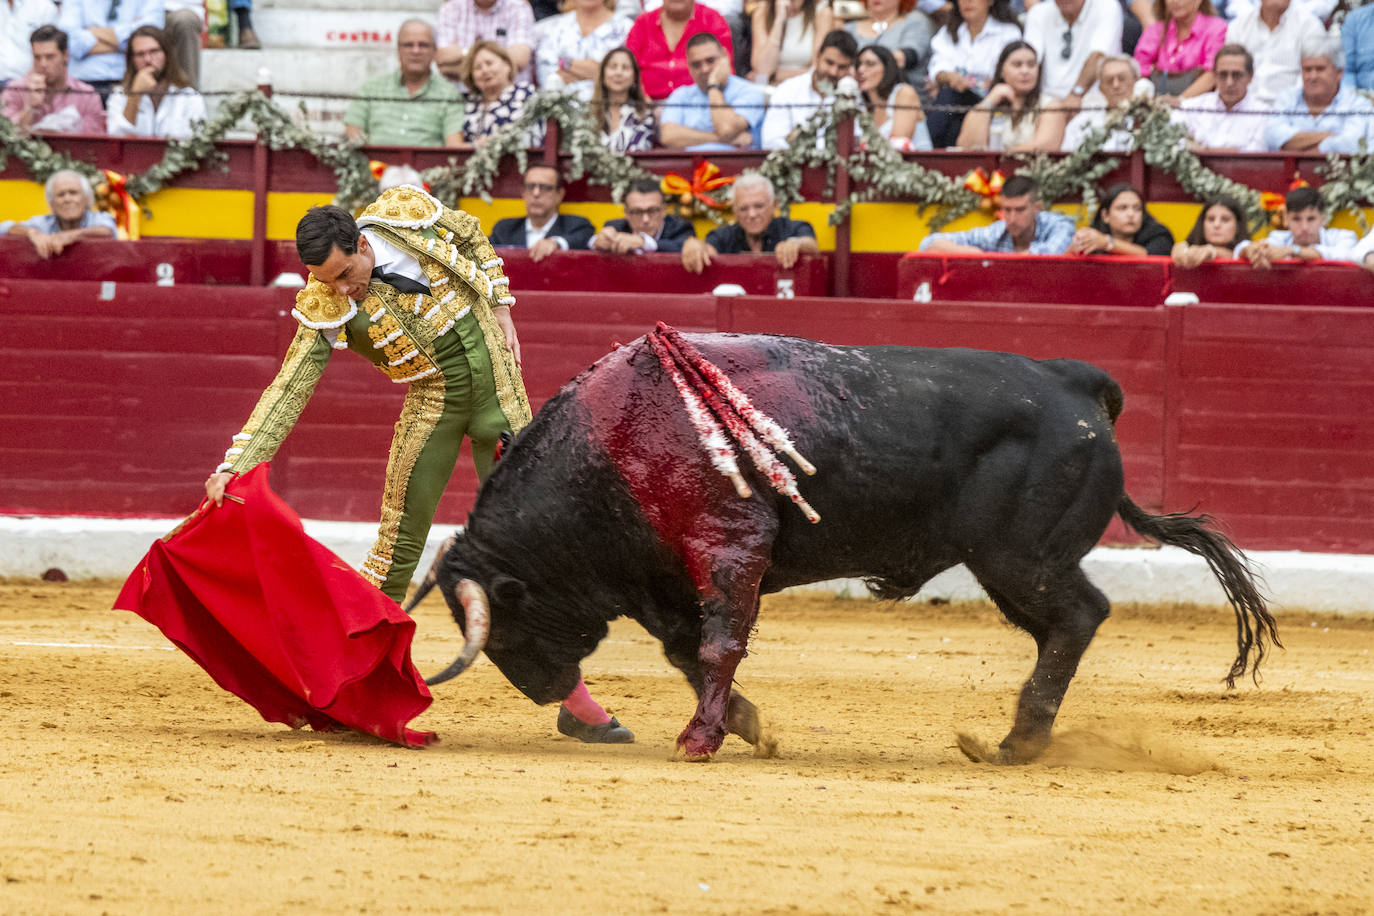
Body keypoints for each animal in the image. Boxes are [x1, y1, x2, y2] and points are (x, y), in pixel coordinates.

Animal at [409, 333, 1275, 763]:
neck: (611, 445)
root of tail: (1077, 383)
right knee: (1068, 623)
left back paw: (1019, 742)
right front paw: (744, 726)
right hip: (1012, 567)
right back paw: (1015, 740)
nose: (545, 691)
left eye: (507, 625)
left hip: (1022, 559)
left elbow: (717, 646)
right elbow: (690, 651)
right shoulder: (669, 576)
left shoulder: (732, 547)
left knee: (1080, 617)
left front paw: (701, 740)